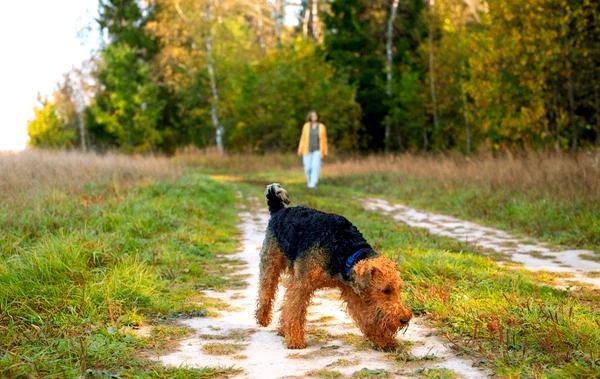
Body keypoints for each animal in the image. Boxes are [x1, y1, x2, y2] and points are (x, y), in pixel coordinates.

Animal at [253, 184, 412, 350]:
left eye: (399, 288)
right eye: (385, 290)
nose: (405, 319)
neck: (345, 250)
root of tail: (279, 210)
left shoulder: (352, 291)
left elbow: (365, 317)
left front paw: (385, 341)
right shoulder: (302, 285)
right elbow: (294, 311)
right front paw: (295, 341)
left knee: (283, 305)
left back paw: (282, 329)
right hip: (271, 264)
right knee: (266, 293)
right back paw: (263, 319)